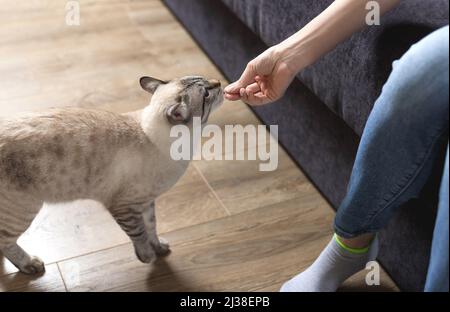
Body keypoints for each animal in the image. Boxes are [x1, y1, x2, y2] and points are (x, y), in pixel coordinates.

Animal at [0, 75, 223, 272]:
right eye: (206, 94)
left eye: (205, 81)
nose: (219, 82)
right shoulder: (124, 207)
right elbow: (140, 233)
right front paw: (147, 257)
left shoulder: (145, 202)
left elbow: (152, 227)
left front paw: (159, 248)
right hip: (23, 210)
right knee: (4, 242)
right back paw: (30, 265)